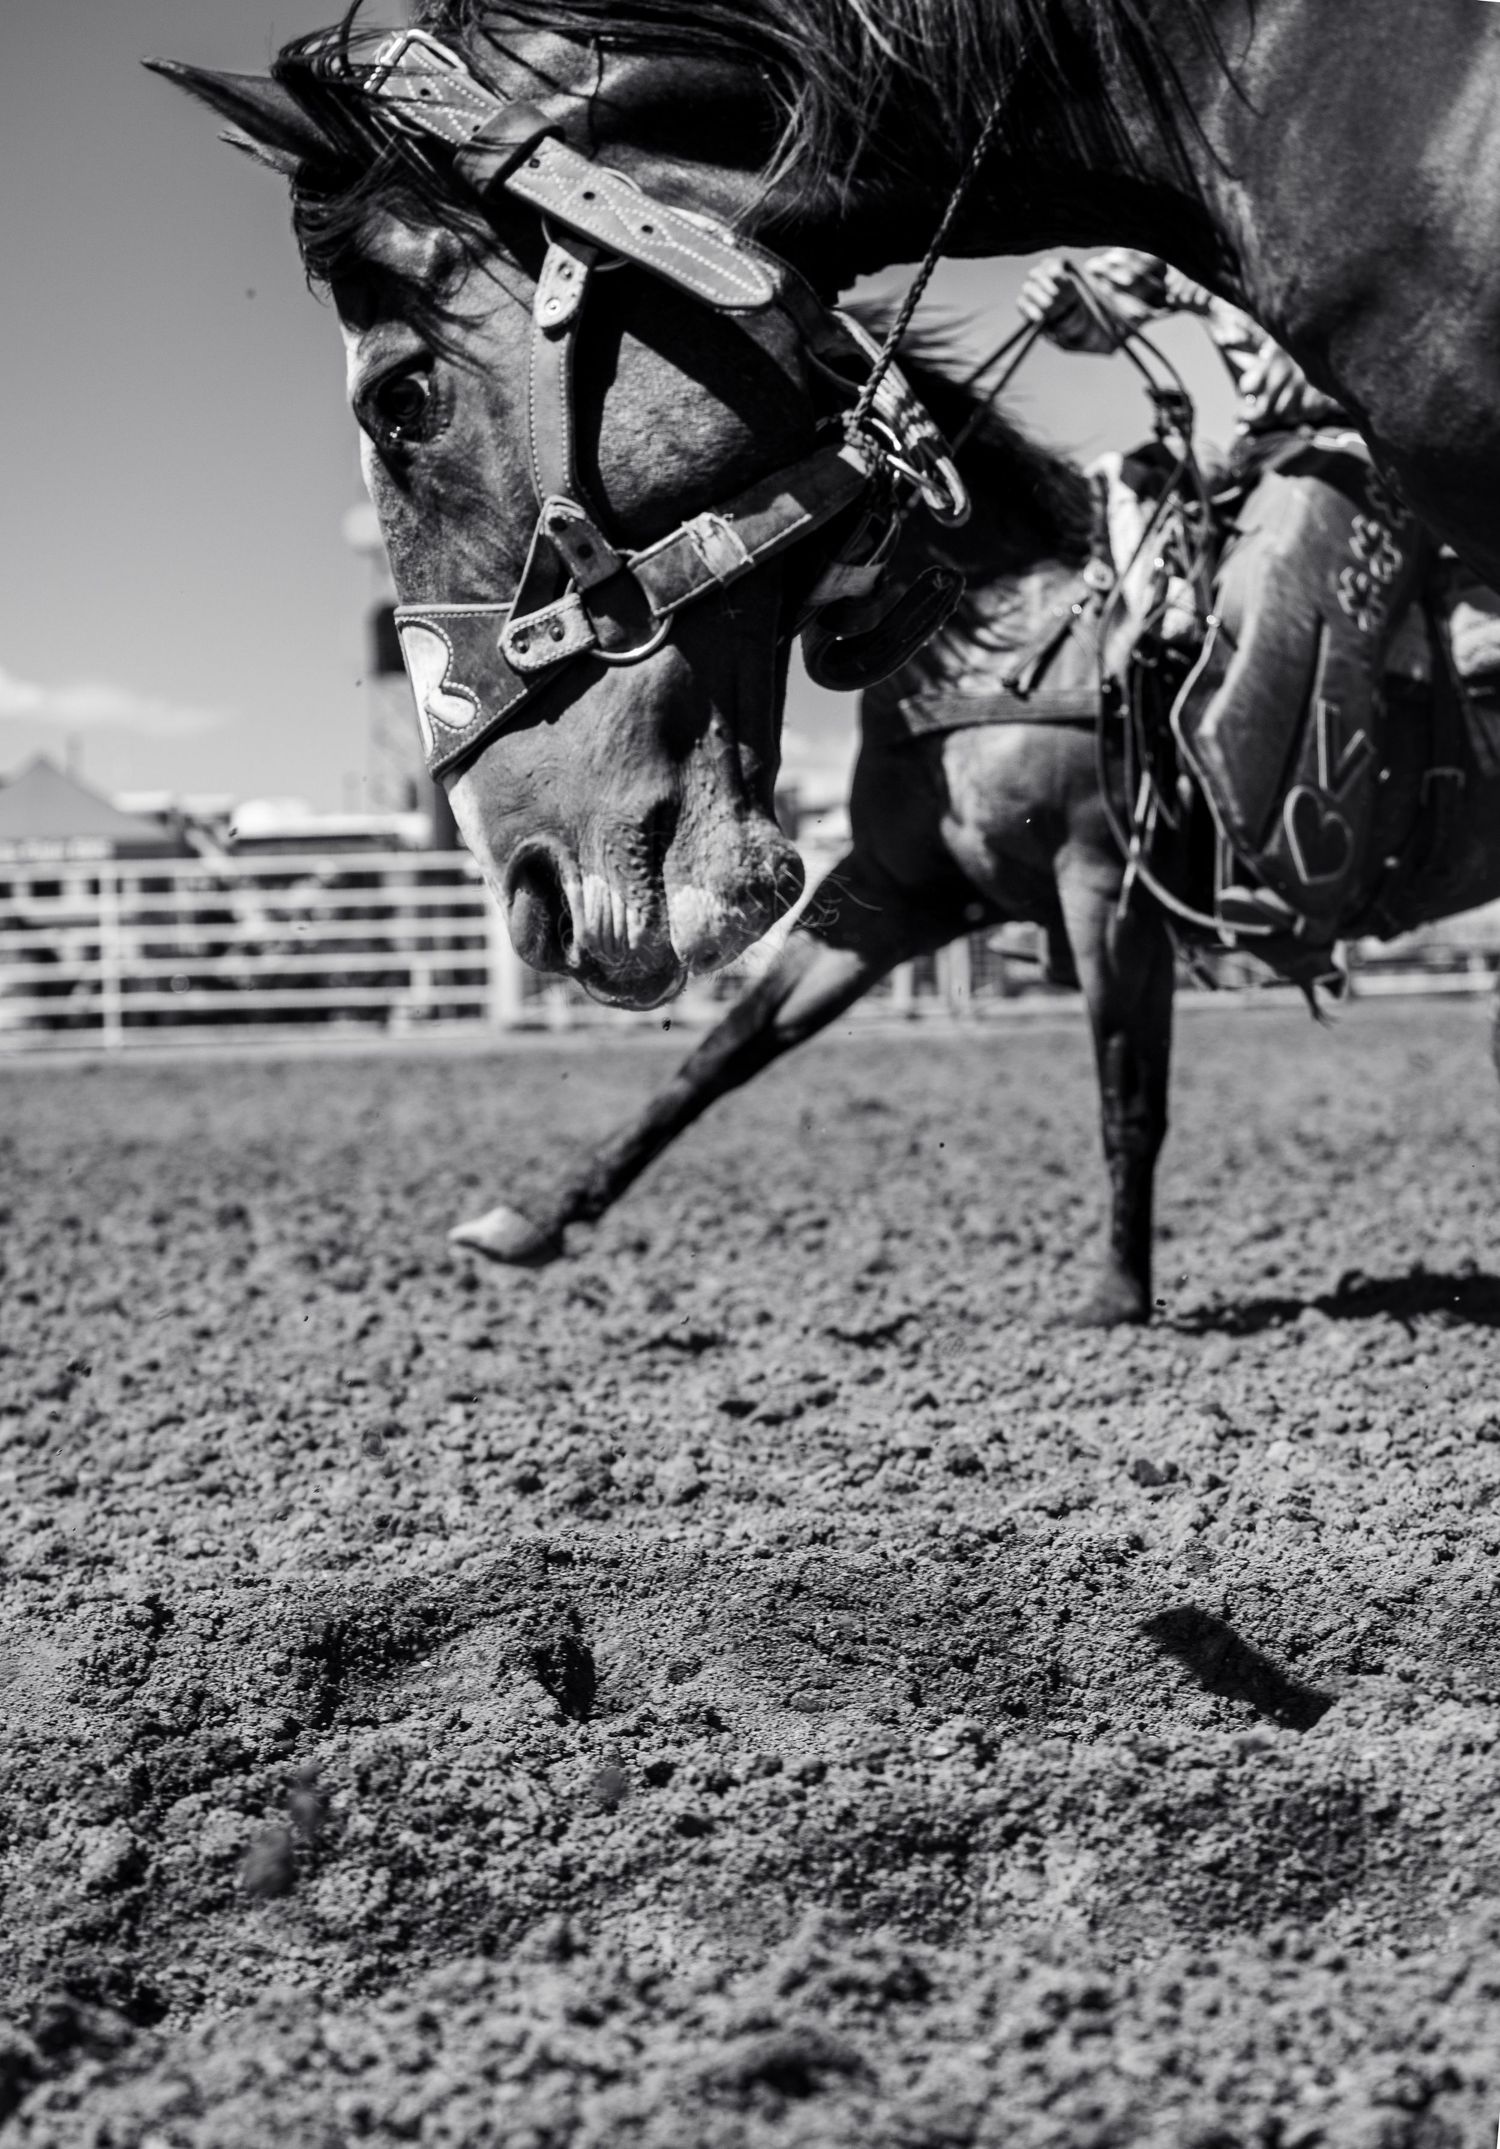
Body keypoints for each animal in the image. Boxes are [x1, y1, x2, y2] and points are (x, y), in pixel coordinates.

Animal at [444, 340, 1500, 1325]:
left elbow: (1128, 1094)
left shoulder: (1103, 890)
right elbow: (727, 1050)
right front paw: (534, 1220)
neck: (1009, 637)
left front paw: (1117, 1294)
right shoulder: (892, 893)